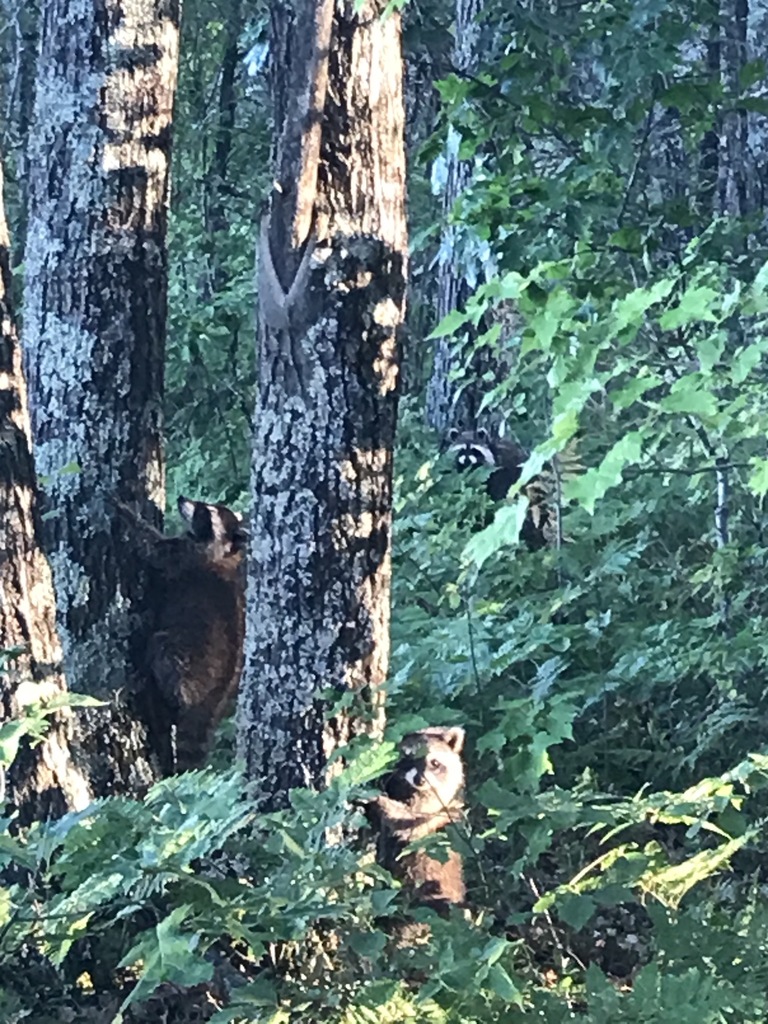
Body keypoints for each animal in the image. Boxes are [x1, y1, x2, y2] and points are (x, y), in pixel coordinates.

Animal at [118, 495, 247, 772]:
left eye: (204, 511)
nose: (181, 499)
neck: (226, 552)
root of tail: (213, 700)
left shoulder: (184, 555)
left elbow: (153, 548)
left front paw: (125, 512)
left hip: (186, 663)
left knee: (160, 649)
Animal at [369, 726, 466, 913]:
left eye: (434, 762)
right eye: (409, 759)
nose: (420, 780)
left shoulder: (436, 807)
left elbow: (407, 820)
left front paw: (380, 801)